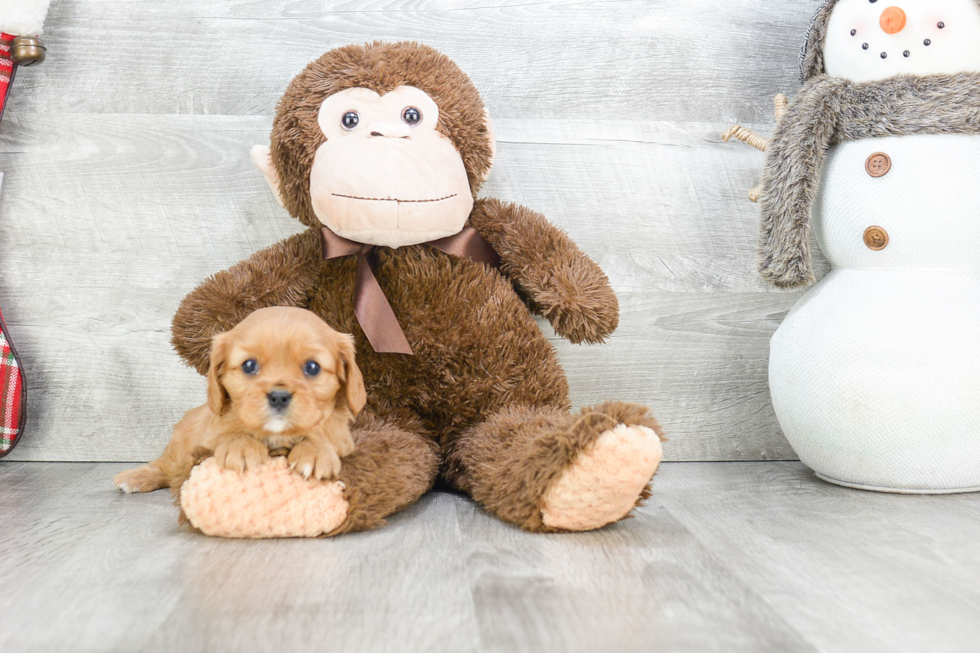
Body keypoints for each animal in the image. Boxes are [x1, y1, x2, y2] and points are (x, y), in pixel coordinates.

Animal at [115, 308, 366, 492]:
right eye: (249, 365)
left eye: (312, 367)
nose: (279, 396)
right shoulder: (209, 436)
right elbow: (229, 434)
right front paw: (241, 448)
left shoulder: (343, 439)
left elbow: (322, 434)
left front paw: (315, 451)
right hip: (179, 447)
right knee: (166, 466)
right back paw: (134, 477)